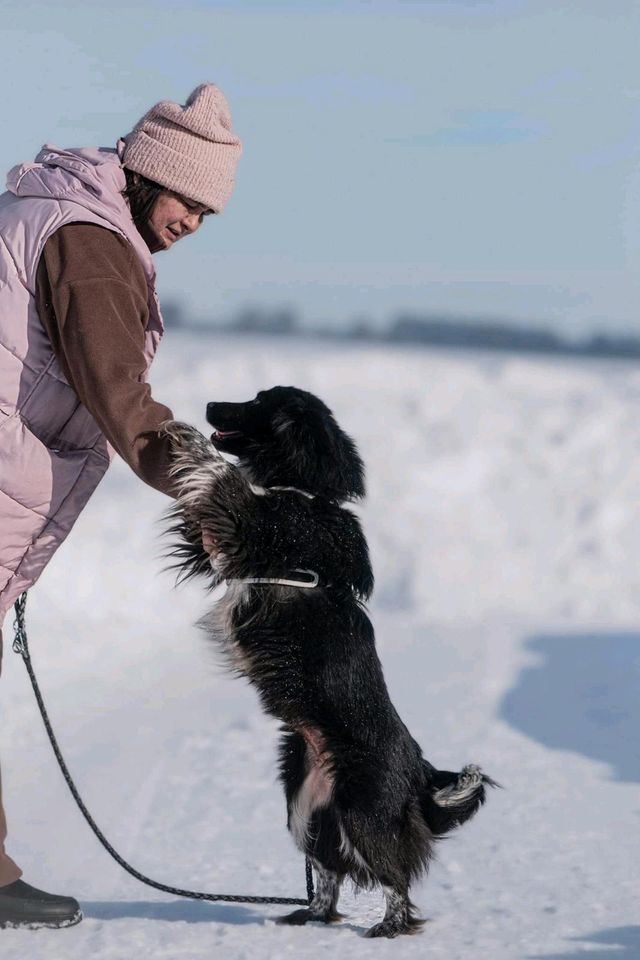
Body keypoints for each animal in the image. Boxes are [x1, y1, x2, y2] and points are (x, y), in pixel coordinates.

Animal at [161, 384, 500, 936]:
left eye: (258, 401)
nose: (209, 405)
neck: (306, 492)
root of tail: (420, 773)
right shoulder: (224, 546)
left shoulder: (250, 529)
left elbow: (223, 478)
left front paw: (185, 435)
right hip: (307, 806)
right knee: (329, 872)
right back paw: (311, 915)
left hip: (362, 809)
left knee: (394, 875)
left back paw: (389, 926)